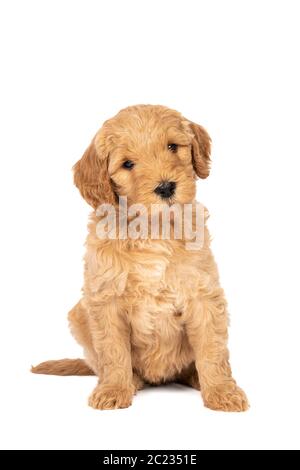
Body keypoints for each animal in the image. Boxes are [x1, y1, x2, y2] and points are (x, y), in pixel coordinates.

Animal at [32, 103, 248, 412]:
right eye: (127, 164)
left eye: (172, 146)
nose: (166, 187)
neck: (153, 231)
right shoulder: (105, 300)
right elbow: (113, 352)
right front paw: (114, 389)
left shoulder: (203, 293)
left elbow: (212, 348)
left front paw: (222, 391)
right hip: (78, 314)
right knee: (99, 363)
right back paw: (129, 381)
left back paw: (196, 377)